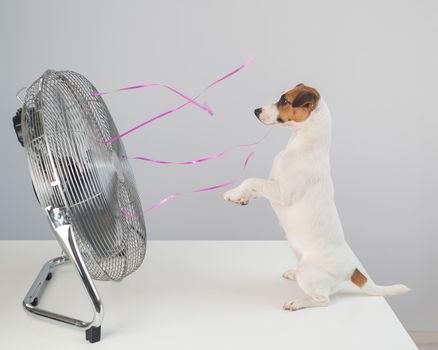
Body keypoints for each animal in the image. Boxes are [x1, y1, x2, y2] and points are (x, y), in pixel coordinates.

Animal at [224, 83, 408, 310]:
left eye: (284, 101)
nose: (256, 110)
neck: (301, 145)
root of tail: (351, 268)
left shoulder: (282, 192)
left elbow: (253, 180)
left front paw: (233, 194)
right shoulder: (273, 185)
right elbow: (253, 186)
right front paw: (239, 197)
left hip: (309, 274)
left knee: (323, 299)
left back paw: (297, 302)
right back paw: (292, 273)